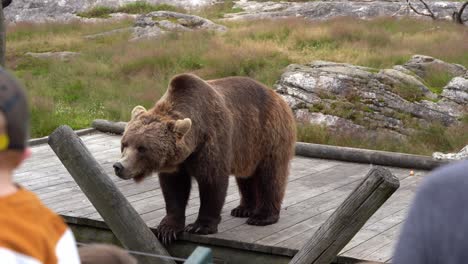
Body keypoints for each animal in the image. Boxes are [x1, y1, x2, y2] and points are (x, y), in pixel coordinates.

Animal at [113, 73, 296, 244]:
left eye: (142, 148)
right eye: (124, 143)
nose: (119, 166)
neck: (194, 140)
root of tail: (278, 96)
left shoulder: (212, 140)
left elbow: (212, 182)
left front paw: (200, 226)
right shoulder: (176, 164)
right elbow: (174, 190)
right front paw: (168, 229)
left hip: (268, 135)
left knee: (271, 175)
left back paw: (262, 216)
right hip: (247, 149)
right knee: (246, 177)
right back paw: (243, 209)